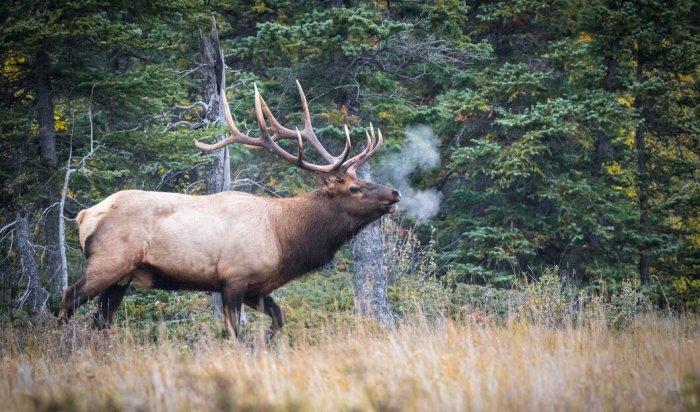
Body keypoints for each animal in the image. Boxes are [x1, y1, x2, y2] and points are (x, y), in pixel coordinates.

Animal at [56, 82, 400, 340]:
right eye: (353, 188)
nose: (394, 193)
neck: (283, 239)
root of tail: (85, 215)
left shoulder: (256, 287)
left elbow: (279, 318)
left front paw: (265, 342)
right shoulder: (234, 278)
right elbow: (235, 334)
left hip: (123, 276)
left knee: (102, 319)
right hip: (108, 262)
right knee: (68, 298)